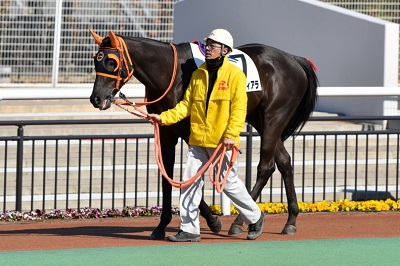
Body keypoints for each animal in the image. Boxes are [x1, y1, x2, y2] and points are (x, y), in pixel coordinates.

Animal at [88, 28, 318, 239]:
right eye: (95, 60)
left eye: (111, 62)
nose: (96, 98)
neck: (170, 75)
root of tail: (294, 59)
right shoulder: (166, 133)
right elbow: (168, 177)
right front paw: (162, 225)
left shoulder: (191, 133)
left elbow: (191, 178)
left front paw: (213, 221)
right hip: (260, 119)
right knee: (284, 161)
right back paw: (290, 220)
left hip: (273, 117)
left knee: (266, 166)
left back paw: (241, 222)